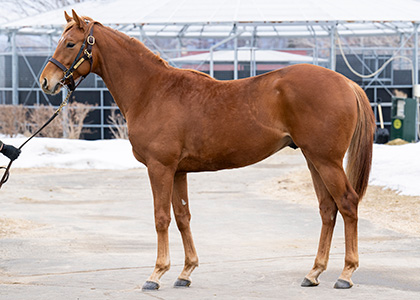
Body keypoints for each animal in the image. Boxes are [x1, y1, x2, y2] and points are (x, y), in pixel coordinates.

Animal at [40, 11, 374, 290]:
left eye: (70, 43)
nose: (46, 81)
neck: (152, 91)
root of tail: (346, 83)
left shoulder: (160, 168)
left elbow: (161, 217)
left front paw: (156, 274)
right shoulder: (178, 171)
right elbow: (182, 216)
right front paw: (185, 272)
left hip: (326, 160)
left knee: (347, 204)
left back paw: (346, 274)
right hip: (312, 159)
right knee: (327, 209)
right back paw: (313, 273)